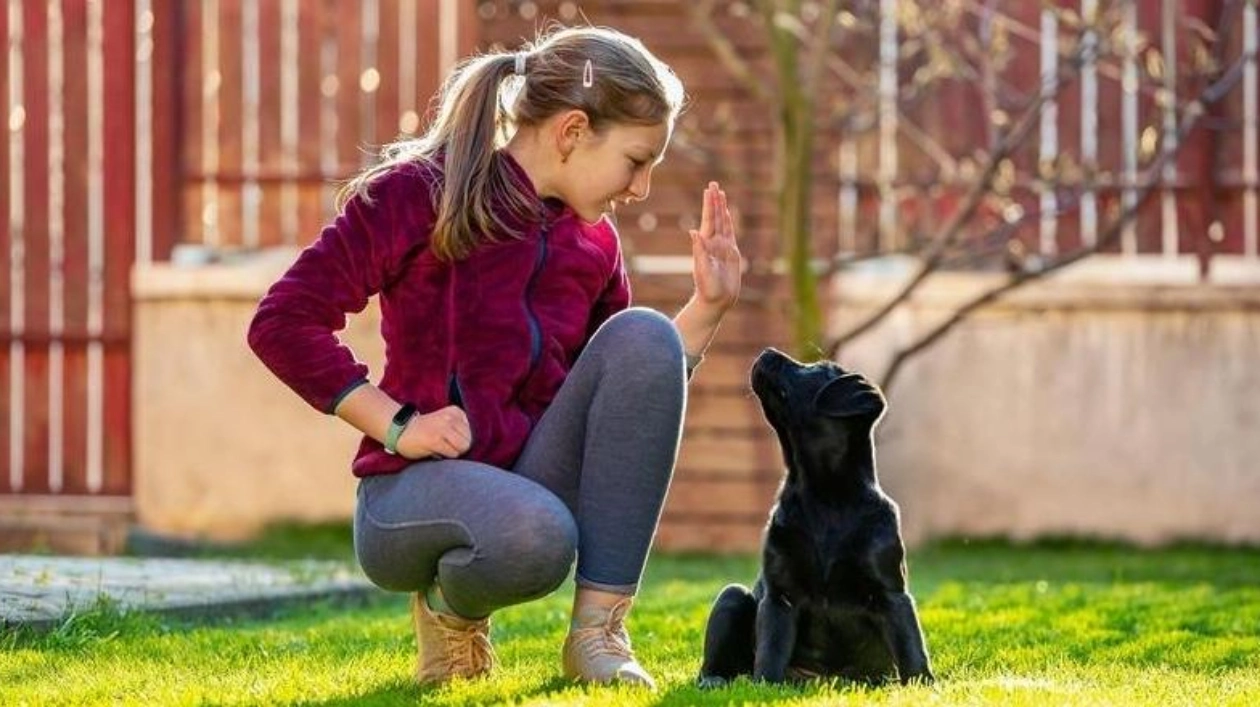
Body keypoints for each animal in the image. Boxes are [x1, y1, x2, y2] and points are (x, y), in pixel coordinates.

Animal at [700, 347, 937, 685]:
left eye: (816, 369)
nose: (767, 351)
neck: (827, 496)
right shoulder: (780, 593)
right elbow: (771, 650)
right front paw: (764, 687)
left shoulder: (891, 591)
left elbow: (911, 646)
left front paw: (924, 685)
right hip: (731, 598)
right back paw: (714, 681)